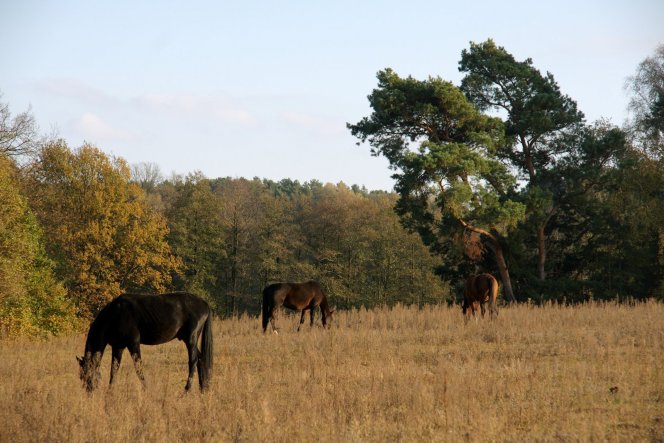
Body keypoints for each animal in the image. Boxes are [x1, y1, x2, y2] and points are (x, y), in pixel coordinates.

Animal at [77, 294, 213, 394]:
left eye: (86, 373)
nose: (89, 391)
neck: (116, 313)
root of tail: (205, 304)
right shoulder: (118, 346)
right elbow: (114, 369)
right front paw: (111, 390)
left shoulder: (133, 344)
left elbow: (138, 367)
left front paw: (146, 389)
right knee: (201, 359)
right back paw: (203, 389)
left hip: (191, 339)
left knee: (193, 362)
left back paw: (186, 391)